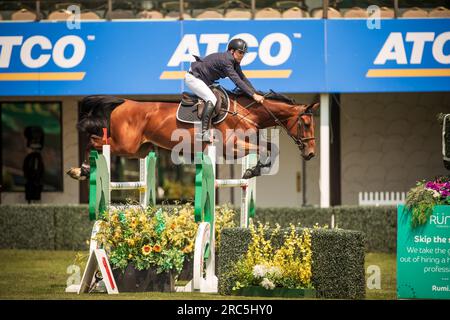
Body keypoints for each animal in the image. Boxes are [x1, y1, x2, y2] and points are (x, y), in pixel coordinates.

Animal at [67, 90, 320, 180]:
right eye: (307, 123)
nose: (311, 154)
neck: (246, 112)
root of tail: (124, 102)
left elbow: (269, 148)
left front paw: (253, 171)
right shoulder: (231, 148)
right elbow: (263, 150)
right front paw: (251, 171)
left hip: (139, 150)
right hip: (123, 145)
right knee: (94, 141)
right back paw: (81, 170)